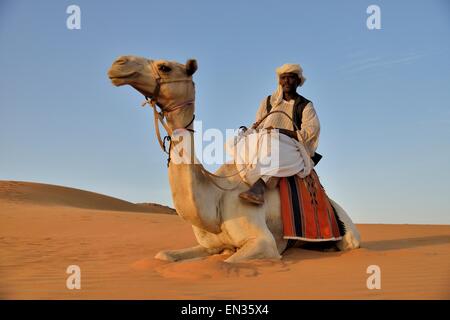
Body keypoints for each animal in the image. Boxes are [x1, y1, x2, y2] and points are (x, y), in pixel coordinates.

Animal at [107, 56, 360, 264]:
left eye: (164, 67)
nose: (119, 63)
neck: (215, 199)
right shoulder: (208, 245)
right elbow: (164, 255)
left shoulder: (265, 243)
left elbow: (227, 262)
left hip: (348, 235)